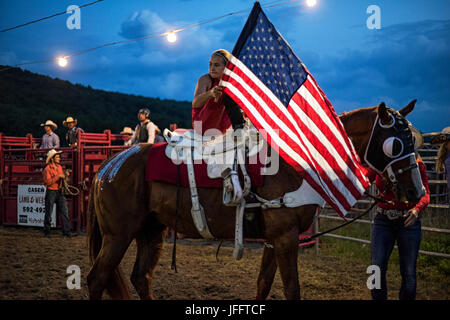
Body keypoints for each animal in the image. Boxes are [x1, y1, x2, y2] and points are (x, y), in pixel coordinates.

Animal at [87, 100, 422, 300]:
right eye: (395, 143)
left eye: (414, 140)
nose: (416, 192)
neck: (295, 166)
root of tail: (108, 166)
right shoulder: (286, 238)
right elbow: (291, 289)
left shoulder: (275, 240)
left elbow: (264, 284)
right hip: (119, 235)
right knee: (96, 278)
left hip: (151, 231)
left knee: (140, 277)